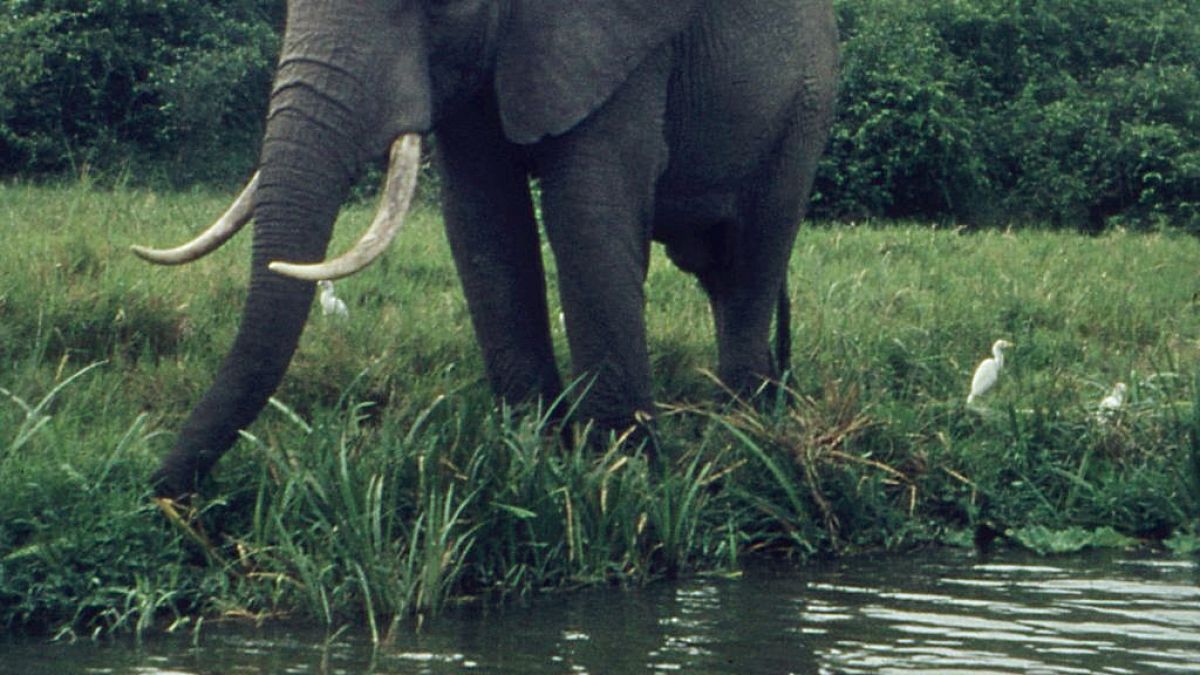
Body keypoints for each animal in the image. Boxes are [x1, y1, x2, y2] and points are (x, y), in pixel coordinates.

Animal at [134, 0, 839, 499]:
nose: (160, 496)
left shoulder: (619, 49)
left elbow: (589, 212)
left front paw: (621, 477)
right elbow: (483, 221)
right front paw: (533, 458)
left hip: (806, 106)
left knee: (751, 262)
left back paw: (747, 435)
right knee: (724, 271)